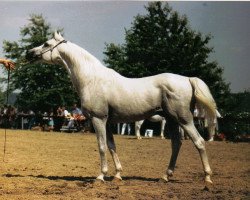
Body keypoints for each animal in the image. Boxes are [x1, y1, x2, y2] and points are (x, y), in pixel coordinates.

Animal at [28, 32, 218, 184]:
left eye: (46, 44)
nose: (29, 53)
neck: (92, 79)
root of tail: (187, 79)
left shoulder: (98, 119)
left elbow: (102, 146)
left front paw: (101, 176)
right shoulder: (107, 122)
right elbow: (112, 146)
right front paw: (117, 175)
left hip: (184, 119)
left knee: (199, 142)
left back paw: (207, 178)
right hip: (172, 120)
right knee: (176, 144)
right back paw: (165, 176)